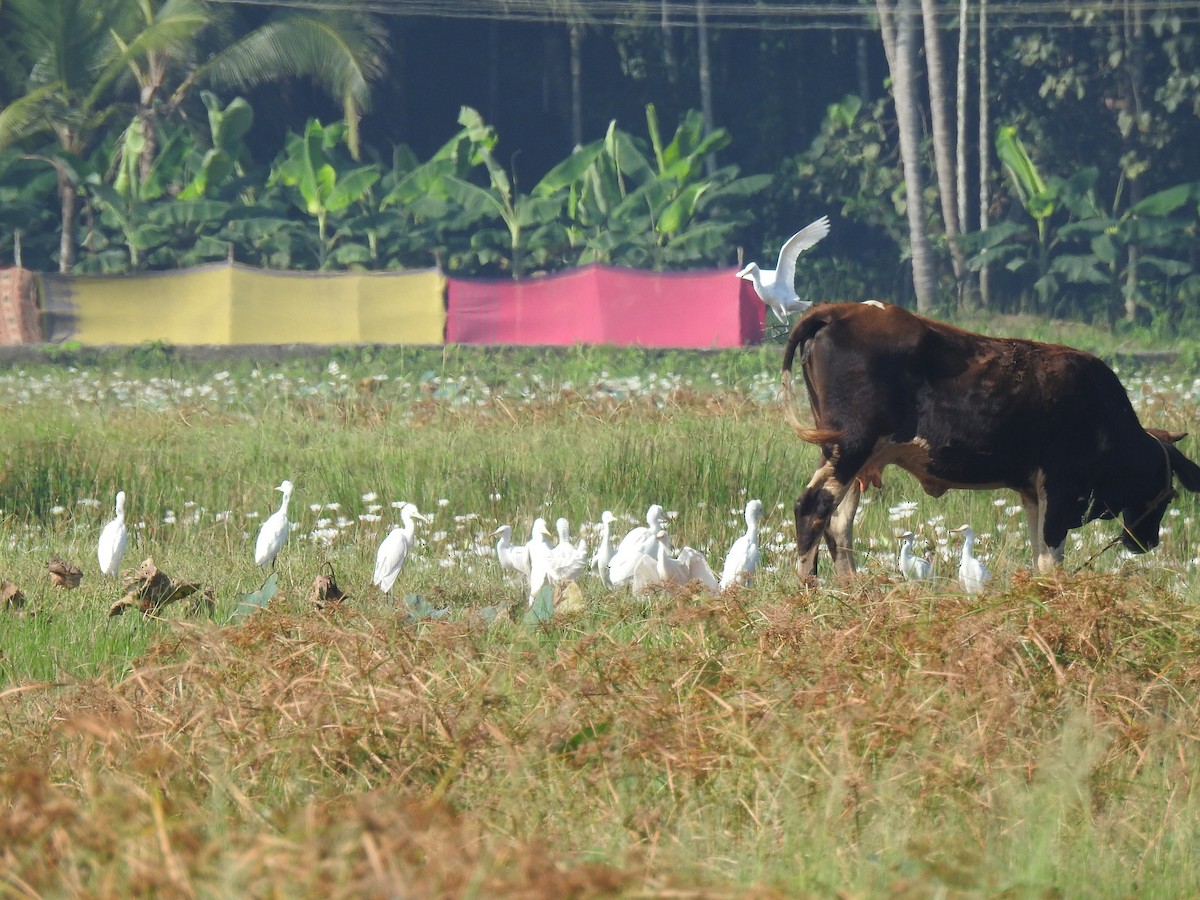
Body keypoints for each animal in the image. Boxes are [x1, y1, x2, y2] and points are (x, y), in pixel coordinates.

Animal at [780, 302, 1200, 579]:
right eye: (1170, 495)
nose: (1147, 542)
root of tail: (838, 310)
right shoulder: (1061, 488)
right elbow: (1052, 556)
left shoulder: (1034, 492)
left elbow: (1040, 554)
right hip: (851, 447)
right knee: (813, 508)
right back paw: (809, 588)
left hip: (846, 457)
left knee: (838, 523)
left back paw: (850, 588)